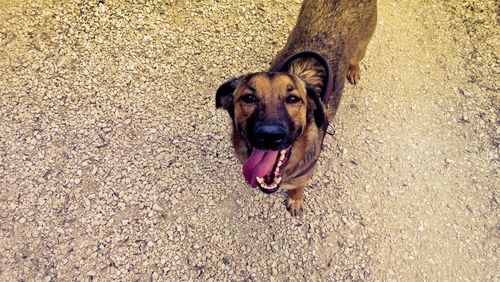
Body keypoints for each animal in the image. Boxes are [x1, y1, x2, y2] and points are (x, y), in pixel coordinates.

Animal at [214, 0, 376, 216]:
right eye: (249, 98)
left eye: (293, 99)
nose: (270, 135)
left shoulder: (305, 174)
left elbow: (299, 186)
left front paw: (296, 198)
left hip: (361, 46)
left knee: (357, 58)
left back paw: (354, 69)